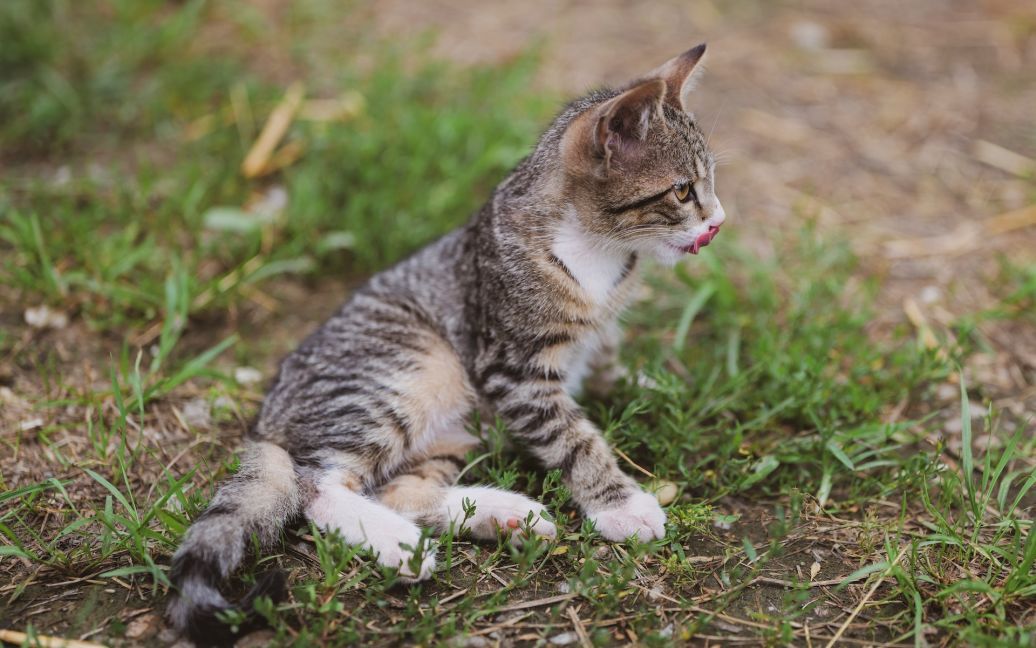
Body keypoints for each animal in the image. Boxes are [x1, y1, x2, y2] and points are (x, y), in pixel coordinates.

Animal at [167, 44, 721, 642]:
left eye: (710, 185)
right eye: (683, 191)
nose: (718, 221)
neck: (599, 252)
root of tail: (267, 416)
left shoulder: (597, 333)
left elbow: (605, 359)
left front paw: (650, 386)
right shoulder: (511, 367)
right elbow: (574, 438)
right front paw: (620, 505)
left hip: (457, 425)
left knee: (395, 488)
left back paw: (502, 514)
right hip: (414, 367)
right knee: (316, 485)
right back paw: (402, 542)